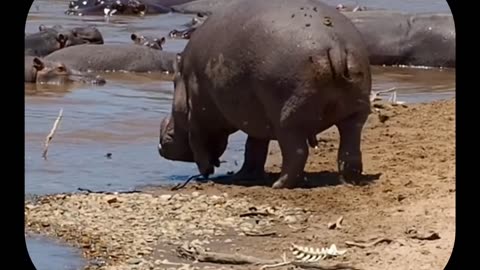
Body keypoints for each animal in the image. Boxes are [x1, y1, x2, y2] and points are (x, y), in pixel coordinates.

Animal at [158, 0, 372, 189]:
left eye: (173, 84)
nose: (160, 144)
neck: (184, 79)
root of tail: (334, 45)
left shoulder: (198, 117)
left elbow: (201, 147)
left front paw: (206, 174)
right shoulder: (256, 120)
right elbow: (254, 148)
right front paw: (244, 176)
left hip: (288, 121)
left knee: (297, 152)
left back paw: (279, 185)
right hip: (355, 112)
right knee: (350, 147)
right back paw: (349, 180)